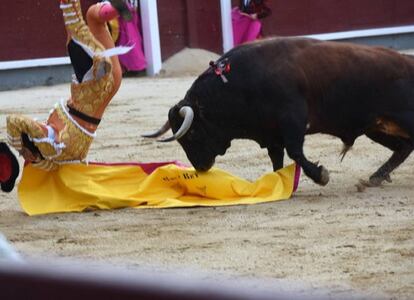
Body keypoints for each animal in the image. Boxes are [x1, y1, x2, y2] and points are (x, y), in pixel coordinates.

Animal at [145, 37, 414, 188]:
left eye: (191, 135)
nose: (200, 167)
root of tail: (408, 61)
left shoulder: (292, 120)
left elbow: (295, 151)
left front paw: (321, 175)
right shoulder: (271, 133)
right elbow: (277, 159)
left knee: (406, 145)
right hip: (376, 127)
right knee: (403, 147)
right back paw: (377, 177)